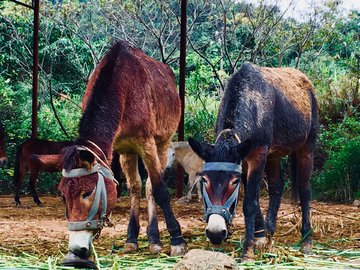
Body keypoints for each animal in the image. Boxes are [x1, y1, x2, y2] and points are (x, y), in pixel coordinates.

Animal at [31, 40, 186, 266]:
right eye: (62, 196)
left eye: (88, 192)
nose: (76, 250)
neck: (121, 85)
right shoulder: (122, 148)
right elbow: (131, 187)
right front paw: (131, 239)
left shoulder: (147, 144)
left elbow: (160, 190)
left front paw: (177, 239)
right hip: (129, 153)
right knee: (136, 187)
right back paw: (137, 238)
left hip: (162, 144)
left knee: (150, 186)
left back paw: (155, 240)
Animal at [188, 62, 318, 262]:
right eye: (204, 180)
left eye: (234, 182)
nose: (215, 232)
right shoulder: (245, 159)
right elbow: (254, 199)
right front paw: (260, 235)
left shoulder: (258, 156)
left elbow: (250, 203)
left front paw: (248, 251)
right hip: (273, 154)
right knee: (277, 186)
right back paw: (270, 227)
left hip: (306, 147)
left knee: (305, 191)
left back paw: (306, 240)